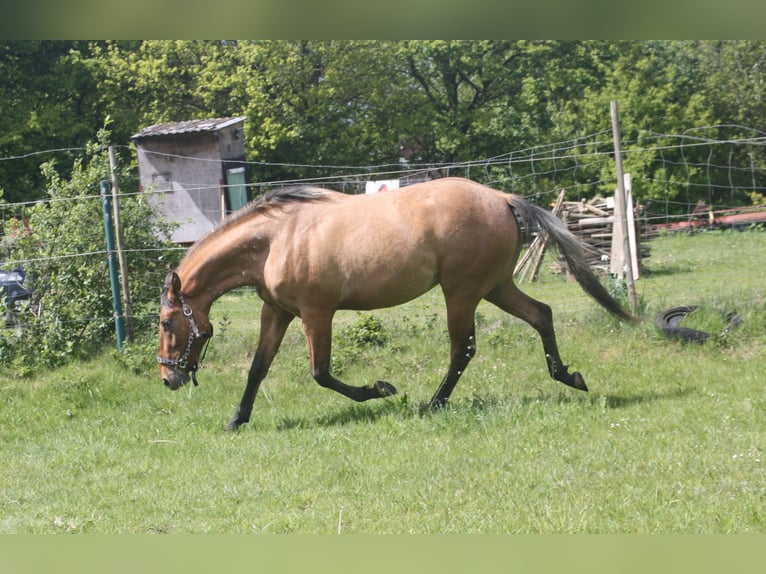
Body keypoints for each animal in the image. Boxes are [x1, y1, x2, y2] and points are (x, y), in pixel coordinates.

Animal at [157, 177, 635, 430]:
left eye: (164, 323)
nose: (168, 378)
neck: (276, 240)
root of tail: (501, 198)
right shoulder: (277, 311)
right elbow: (258, 368)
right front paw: (236, 420)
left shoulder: (316, 313)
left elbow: (321, 373)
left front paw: (381, 389)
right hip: (496, 287)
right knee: (541, 315)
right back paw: (569, 376)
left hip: (462, 292)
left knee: (462, 348)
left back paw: (433, 404)